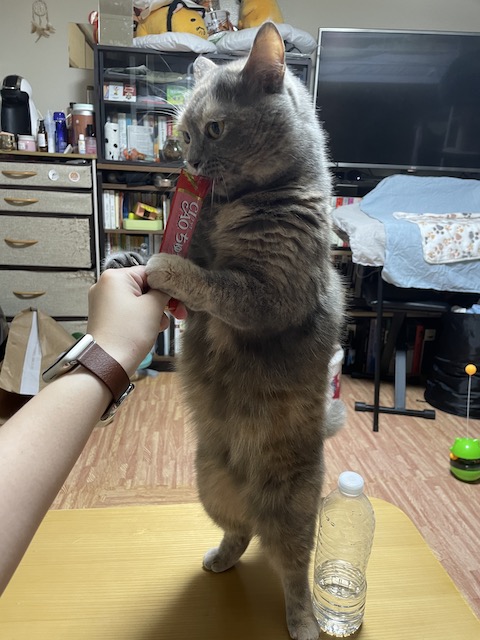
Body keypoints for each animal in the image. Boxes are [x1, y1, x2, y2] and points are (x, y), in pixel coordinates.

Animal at [106, 22, 346, 640]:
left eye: (215, 129)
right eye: (185, 132)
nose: (188, 158)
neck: (231, 210)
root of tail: (254, 500)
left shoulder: (264, 296)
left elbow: (211, 281)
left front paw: (165, 267)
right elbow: (189, 268)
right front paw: (124, 262)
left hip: (293, 508)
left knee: (294, 570)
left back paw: (304, 622)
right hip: (208, 484)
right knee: (238, 532)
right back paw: (219, 558)